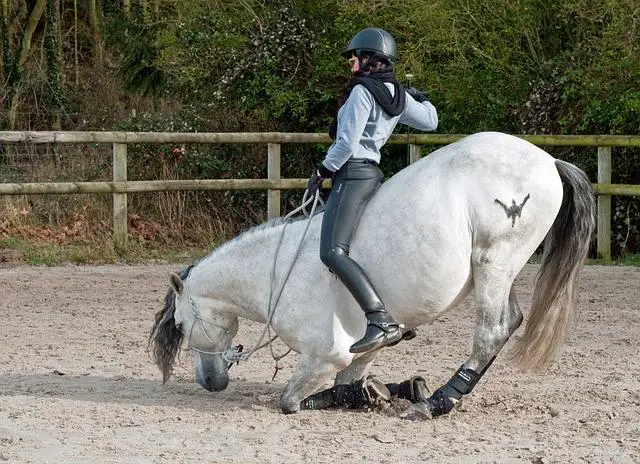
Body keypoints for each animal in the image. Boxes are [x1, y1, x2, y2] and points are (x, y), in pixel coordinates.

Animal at [149, 131, 596, 416]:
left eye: (181, 324)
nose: (210, 381)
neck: (273, 275)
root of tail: (548, 159)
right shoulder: (360, 353)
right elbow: (350, 384)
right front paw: (386, 389)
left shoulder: (322, 357)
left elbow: (293, 400)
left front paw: (384, 393)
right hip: (503, 270)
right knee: (511, 321)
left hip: (494, 262)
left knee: (492, 332)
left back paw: (438, 403)